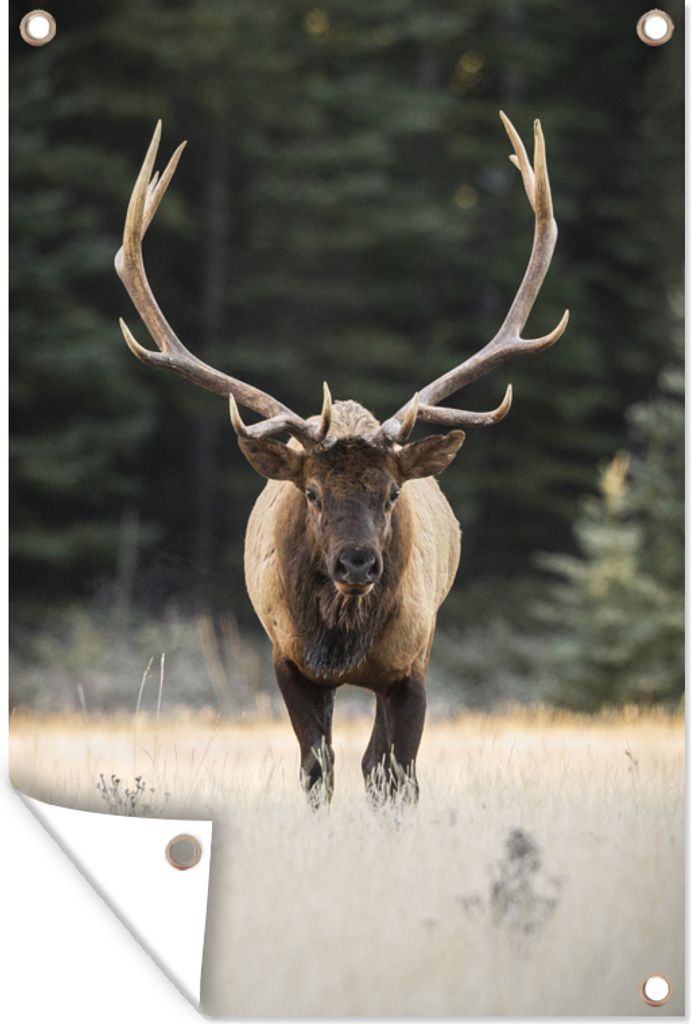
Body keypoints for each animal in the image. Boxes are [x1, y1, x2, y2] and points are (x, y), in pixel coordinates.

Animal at [115, 113, 568, 805]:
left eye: (392, 493)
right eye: (311, 493)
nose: (357, 562)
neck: (343, 644)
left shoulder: (412, 664)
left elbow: (395, 775)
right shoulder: (287, 660)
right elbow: (316, 771)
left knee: (378, 764)